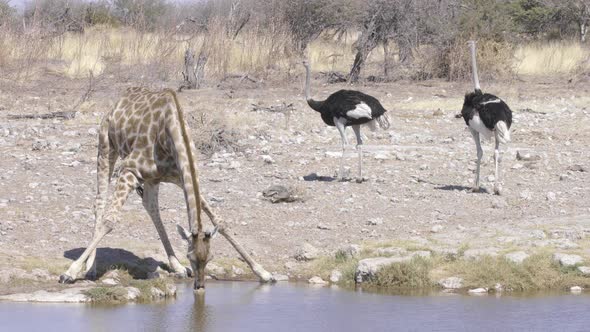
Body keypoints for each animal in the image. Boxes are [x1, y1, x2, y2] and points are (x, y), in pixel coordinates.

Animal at [60, 87, 272, 290]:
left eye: (210, 257)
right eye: (191, 257)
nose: (200, 286)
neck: (171, 129)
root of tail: (118, 101)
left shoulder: (178, 176)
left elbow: (220, 220)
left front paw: (263, 272)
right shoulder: (129, 169)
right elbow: (110, 221)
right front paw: (69, 273)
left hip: (152, 179)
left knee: (150, 206)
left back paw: (177, 267)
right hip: (106, 148)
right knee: (99, 203)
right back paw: (90, 268)